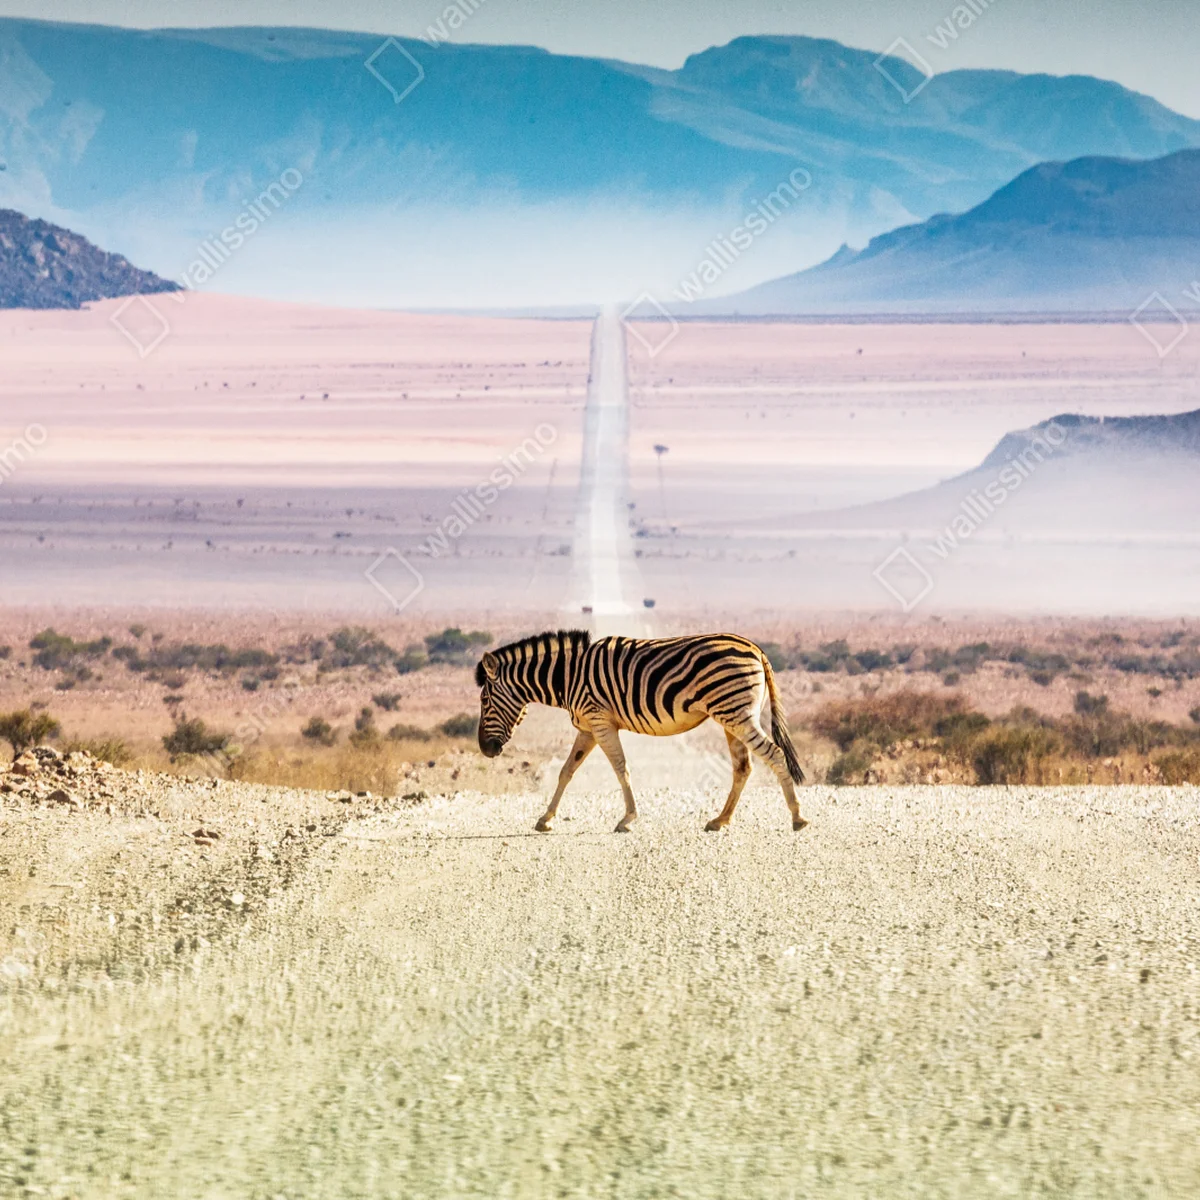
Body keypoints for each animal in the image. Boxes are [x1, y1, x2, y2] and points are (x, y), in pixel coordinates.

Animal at [475, 630, 807, 833]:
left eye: (484, 700)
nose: (485, 750)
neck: (567, 676)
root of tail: (756, 649)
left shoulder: (600, 721)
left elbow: (621, 768)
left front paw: (627, 819)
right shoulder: (587, 728)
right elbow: (567, 771)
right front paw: (545, 819)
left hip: (737, 713)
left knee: (774, 754)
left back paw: (797, 817)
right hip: (732, 716)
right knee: (743, 766)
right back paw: (720, 820)